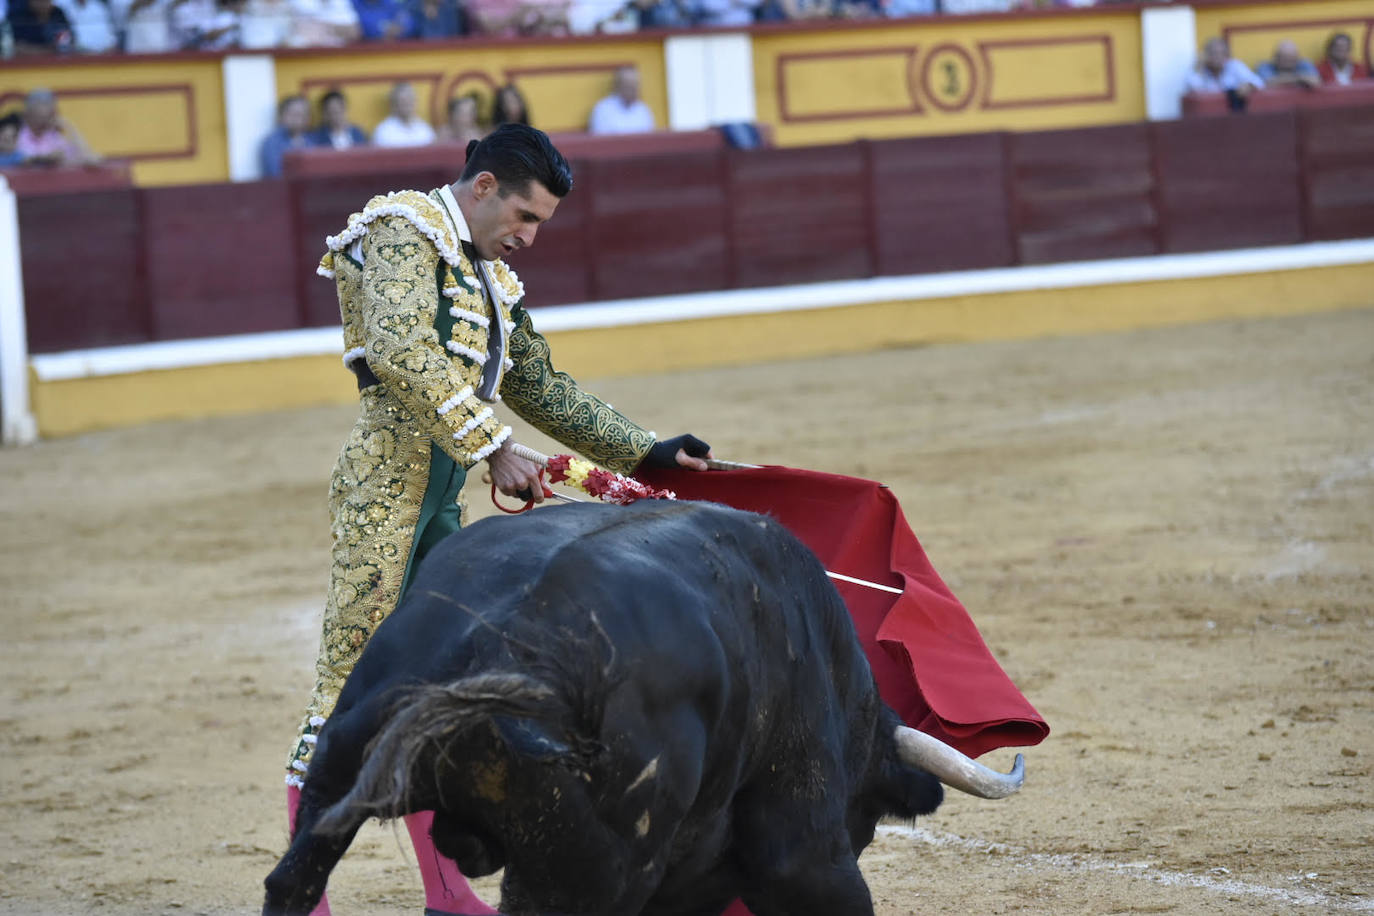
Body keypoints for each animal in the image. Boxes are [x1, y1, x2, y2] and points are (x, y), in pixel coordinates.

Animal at [267, 502, 1022, 916]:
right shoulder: (804, 847)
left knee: (292, 881)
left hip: (337, 764)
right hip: (589, 878)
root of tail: (496, 650)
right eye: (861, 815)